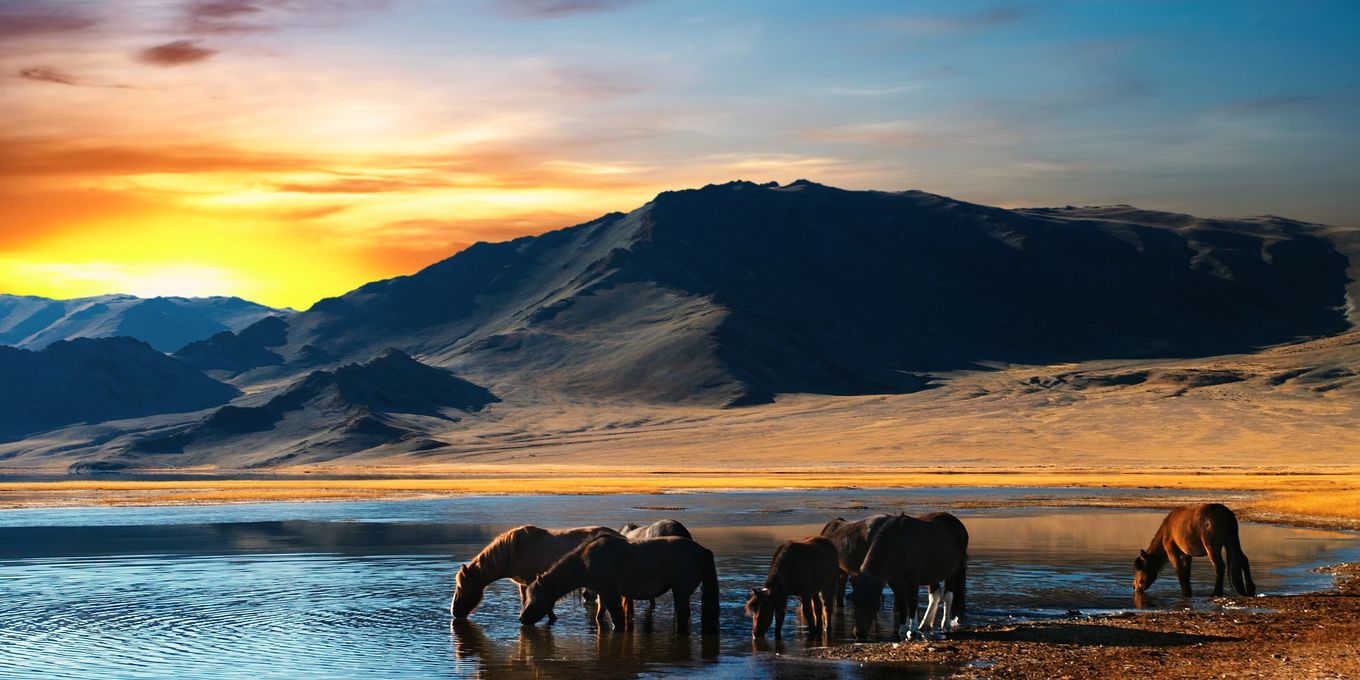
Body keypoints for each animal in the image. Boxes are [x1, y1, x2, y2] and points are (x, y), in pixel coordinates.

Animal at [520, 534, 720, 635]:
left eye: (535, 597)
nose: (522, 618)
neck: (585, 561)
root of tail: (701, 550)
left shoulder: (609, 593)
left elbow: (617, 619)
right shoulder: (603, 593)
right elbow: (601, 615)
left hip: (681, 592)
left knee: (683, 615)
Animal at [849, 512, 968, 642]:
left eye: (872, 600)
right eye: (854, 600)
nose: (859, 633)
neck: (899, 546)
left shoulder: (912, 580)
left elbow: (911, 603)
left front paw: (912, 630)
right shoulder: (895, 582)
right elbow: (902, 604)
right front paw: (902, 629)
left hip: (954, 571)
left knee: (948, 596)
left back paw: (945, 623)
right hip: (933, 575)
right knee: (935, 596)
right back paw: (925, 624)